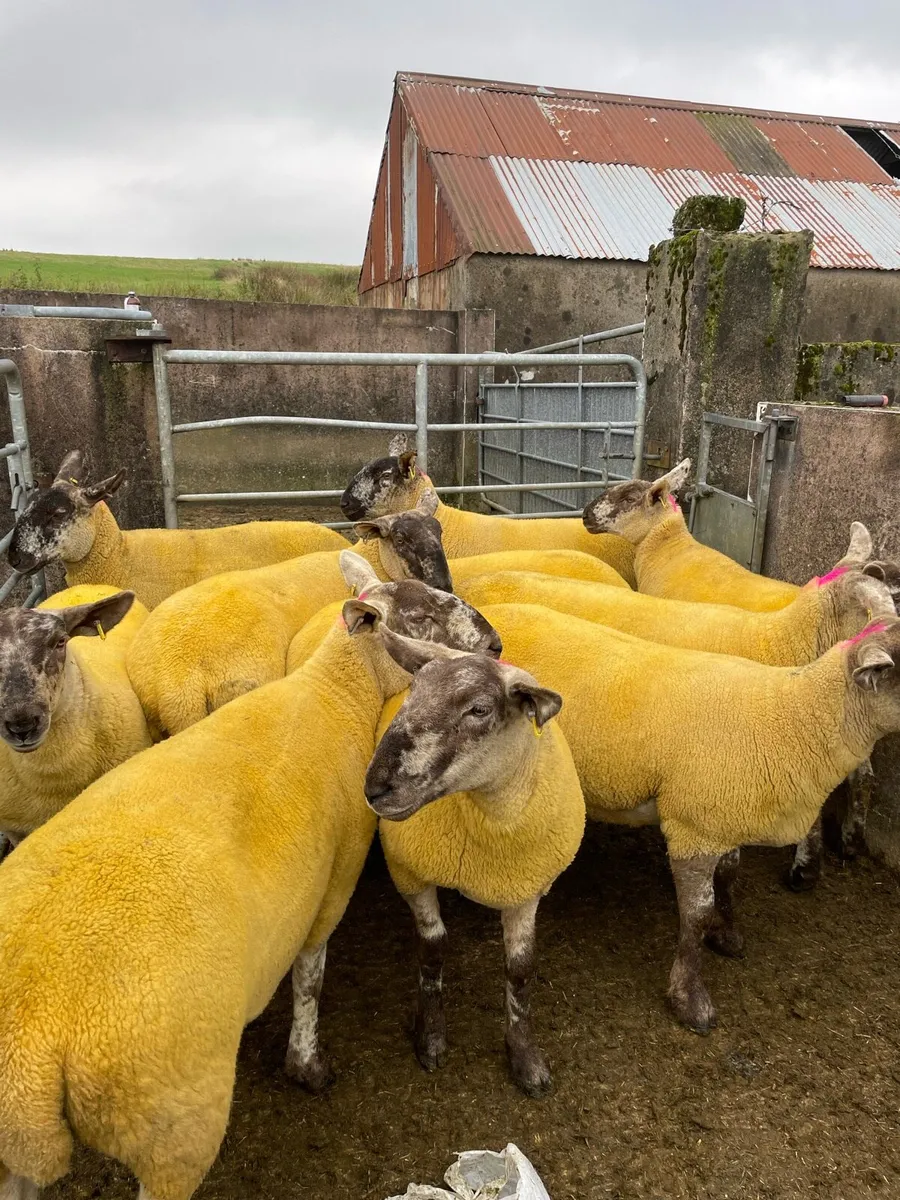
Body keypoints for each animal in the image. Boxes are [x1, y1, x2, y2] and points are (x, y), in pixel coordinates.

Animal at [367, 631, 583, 1097]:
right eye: (413, 691)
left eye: (479, 710)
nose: (374, 787)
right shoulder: (411, 874)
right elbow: (432, 951)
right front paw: (431, 1038)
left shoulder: (526, 889)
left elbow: (521, 971)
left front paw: (525, 1058)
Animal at [475, 602, 900, 1034]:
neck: (791, 717)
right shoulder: (692, 829)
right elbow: (695, 915)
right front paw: (690, 1000)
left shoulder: (722, 816)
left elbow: (728, 878)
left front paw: (727, 935)